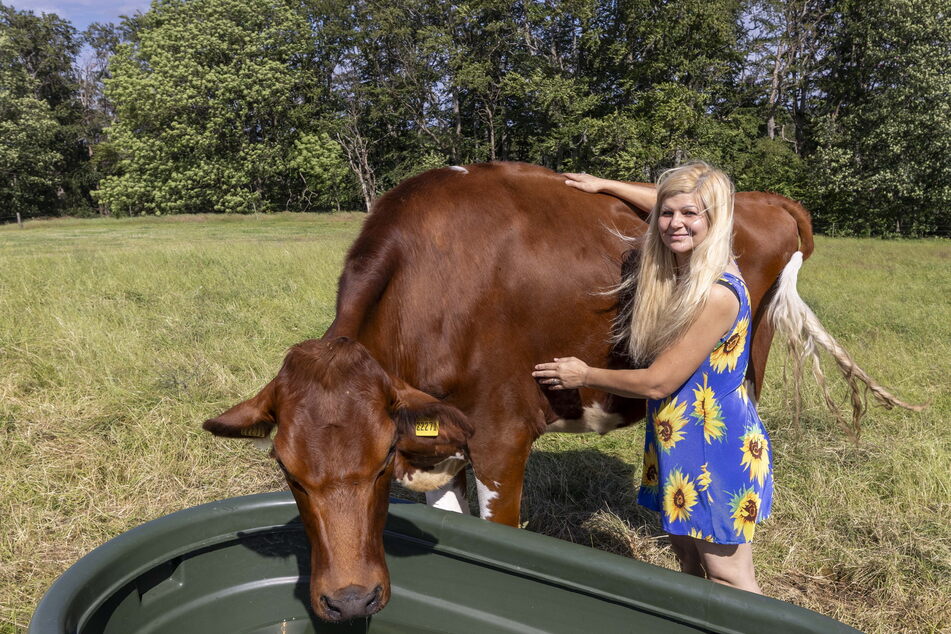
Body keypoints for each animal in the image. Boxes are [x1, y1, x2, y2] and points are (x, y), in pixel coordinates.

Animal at [203, 160, 916, 620]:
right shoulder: (441, 442)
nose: (349, 600)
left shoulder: (500, 437)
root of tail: (768, 199)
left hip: (749, 367)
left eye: (380, 465)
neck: (431, 287)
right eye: (288, 473)